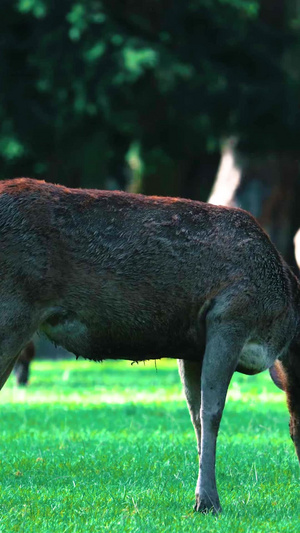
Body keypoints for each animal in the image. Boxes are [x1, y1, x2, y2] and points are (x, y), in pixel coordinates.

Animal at [0, 178, 298, 512]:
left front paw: (200, 495)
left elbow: (195, 414)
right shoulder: (230, 316)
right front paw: (209, 502)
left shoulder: (192, 347)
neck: (283, 330)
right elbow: (213, 412)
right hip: (14, 309)